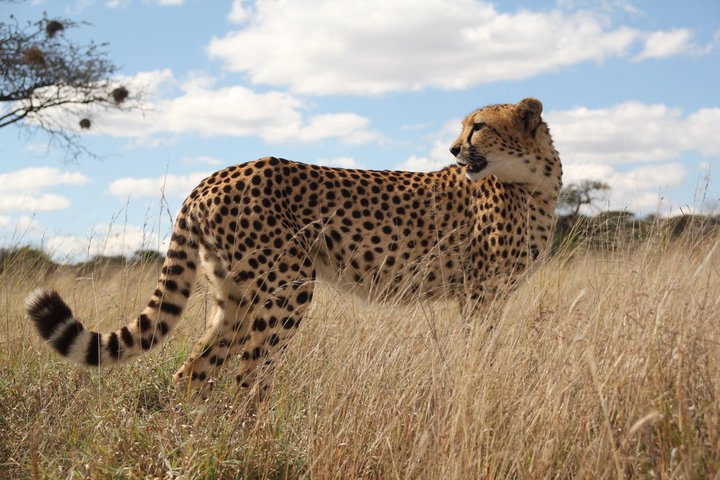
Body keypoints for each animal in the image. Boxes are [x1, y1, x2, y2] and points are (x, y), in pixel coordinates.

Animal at [25, 98, 562, 397]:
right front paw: (477, 386)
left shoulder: (481, 294)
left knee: (196, 368)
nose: (453, 149)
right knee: (248, 373)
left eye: (479, 126)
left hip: (234, 294)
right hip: (288, 284)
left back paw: (196, 441)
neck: (536, 182)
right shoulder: (480, 293)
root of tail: (212, 176)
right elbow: (478, 352)